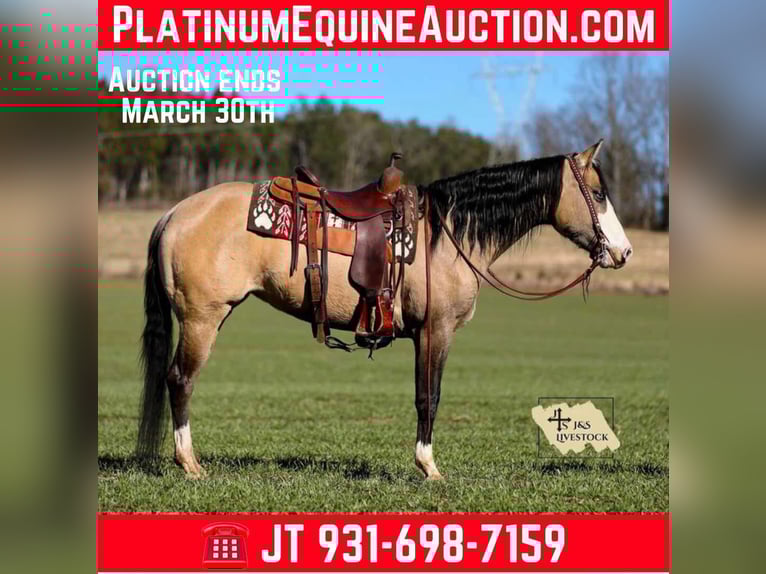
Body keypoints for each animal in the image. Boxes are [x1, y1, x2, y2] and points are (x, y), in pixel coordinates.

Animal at [136, 140, 633, 480]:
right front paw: (429, 467)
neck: (445, 234)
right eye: (598, 193)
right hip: (202, 318)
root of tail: (174, 213)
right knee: (181, 380)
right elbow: (428, 397)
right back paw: (189, 463)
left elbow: (424, 396)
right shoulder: (436, 331)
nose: (623, 252)